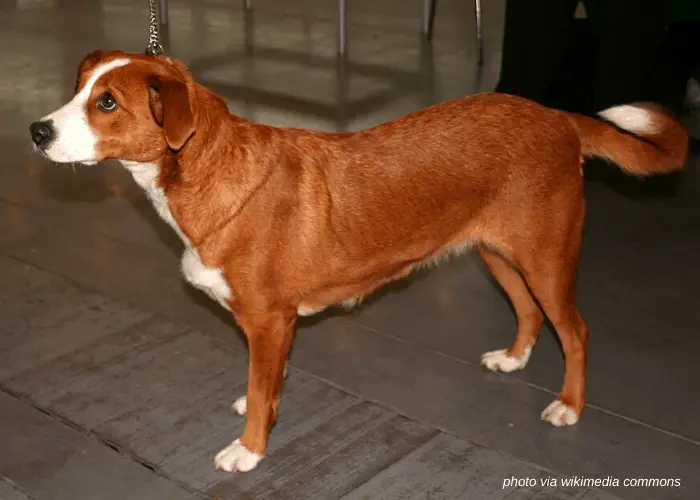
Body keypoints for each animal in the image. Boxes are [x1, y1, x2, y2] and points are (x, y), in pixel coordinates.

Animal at [28, 50, 688, 472]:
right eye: (78, 90)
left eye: (107, 103)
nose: (36, 131)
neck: (204, 171)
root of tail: (554, 115)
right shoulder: (272, 327)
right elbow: (266, 381)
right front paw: (264, 406)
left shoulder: (269, 320)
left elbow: (260, 388)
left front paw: (250, 448)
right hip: (498, 252)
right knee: (529, 312)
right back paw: (514, 358)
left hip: (546, 257)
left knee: (574, 331)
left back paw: (569, 406)